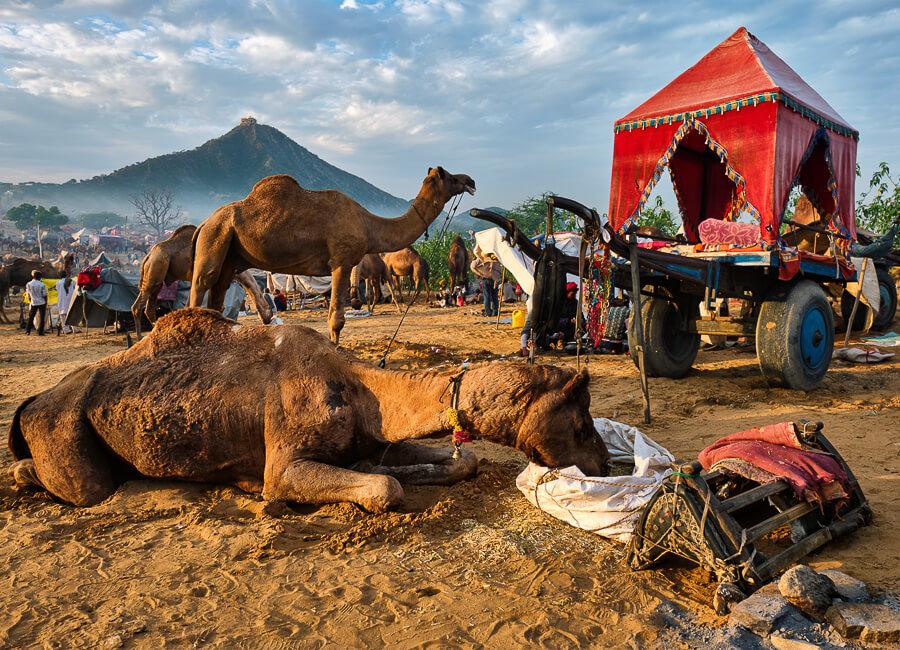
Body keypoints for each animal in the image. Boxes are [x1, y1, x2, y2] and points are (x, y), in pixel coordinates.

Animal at [8, 308, 609, 511]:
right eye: (581, 423)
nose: (605, 464)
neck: (361, 388)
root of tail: (33, 401)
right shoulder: (287, 461)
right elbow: (384, 489)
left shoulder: (373, 437)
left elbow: (459, 461)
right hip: (62, 427)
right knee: (81, 485)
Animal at [131, 225, 272, 338]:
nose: (268, 319)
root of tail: (147, 256)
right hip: (156, 266)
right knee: (138, 305)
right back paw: (139, 337)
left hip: (158, 274)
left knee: (150, 306)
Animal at [189, 167, 475, 344]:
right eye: (449, 176)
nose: (470, 180)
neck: (368, 224)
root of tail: (203, 223)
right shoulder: (342, 261)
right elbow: (336, 320)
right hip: (214, 237)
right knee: (201, 285)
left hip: (229, 254)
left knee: (218, 294)